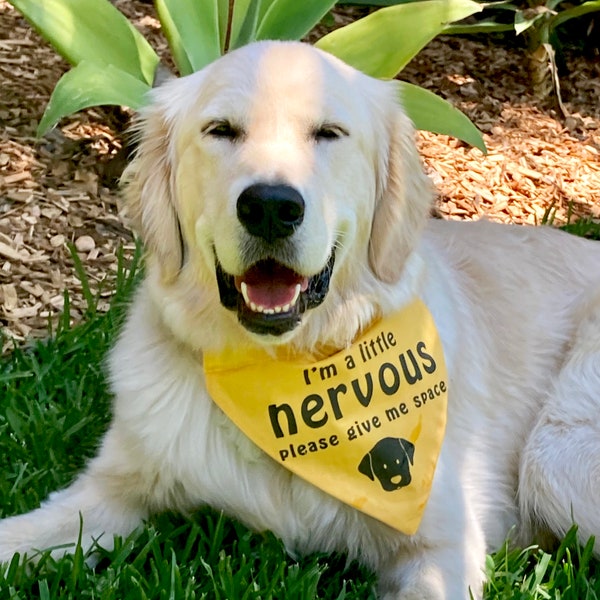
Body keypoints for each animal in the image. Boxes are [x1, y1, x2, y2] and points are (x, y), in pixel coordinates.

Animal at [1, 39, 600, 596]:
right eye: (220, 130)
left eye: (329, 133)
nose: (269, 206)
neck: (286, 369)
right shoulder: (110, 489)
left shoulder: (442, 539)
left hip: (551, 452)